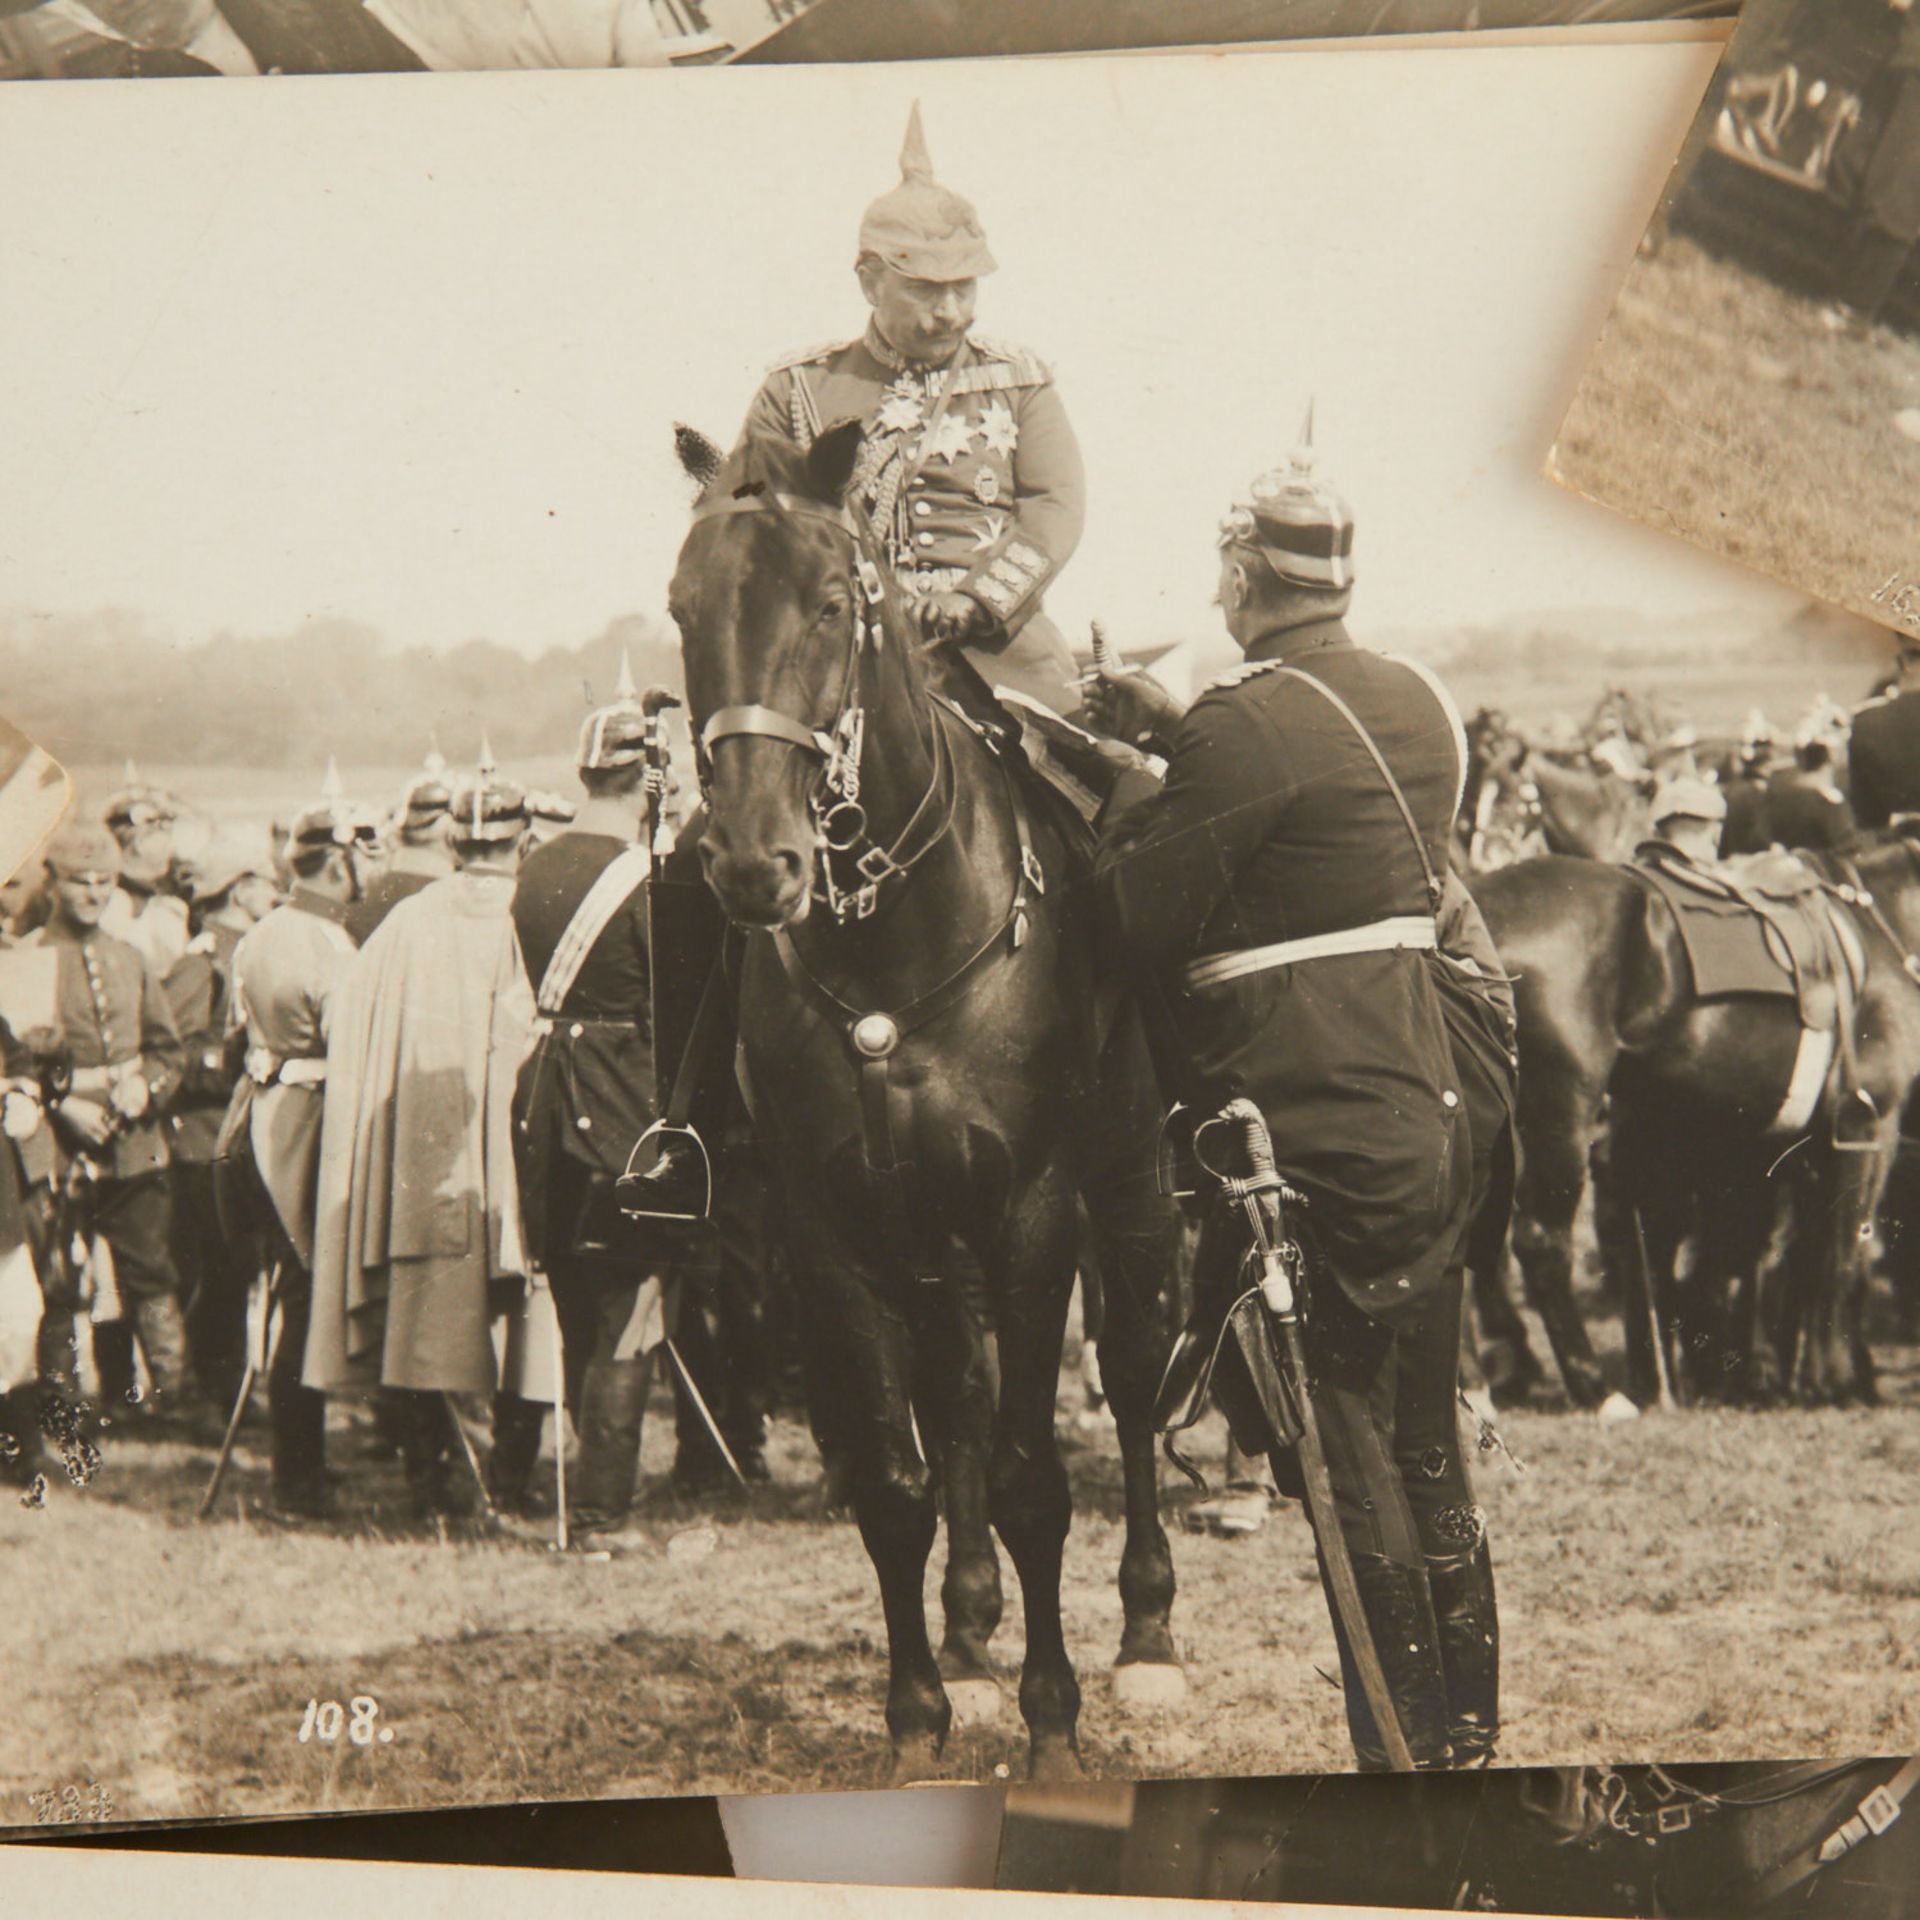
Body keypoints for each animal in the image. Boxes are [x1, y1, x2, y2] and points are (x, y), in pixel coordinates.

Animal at [672, 424, 1182, 1781]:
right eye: (685, 609)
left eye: (830, 602)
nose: (756, 863)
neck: (892, 947)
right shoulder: (832, 1231)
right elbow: (897, 1487)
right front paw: (916, 1721)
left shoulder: (1034, 1211)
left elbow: (1031, 1480)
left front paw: (1054, 1722)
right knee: (957, 1395)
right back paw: (967, 1625)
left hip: (1128, 1180)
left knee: (1134, 1371)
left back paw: (1148, 1629)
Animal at [1466, 840, 1920, 1413]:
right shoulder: (1867, 1125)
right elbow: (1842, 1259)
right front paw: (1839, 1380)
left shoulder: (1765, 1150)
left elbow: (1777, 1258)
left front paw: (1781, 1377)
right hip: (1557, 1113)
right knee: (1541, 1243)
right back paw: (1595, 1389)